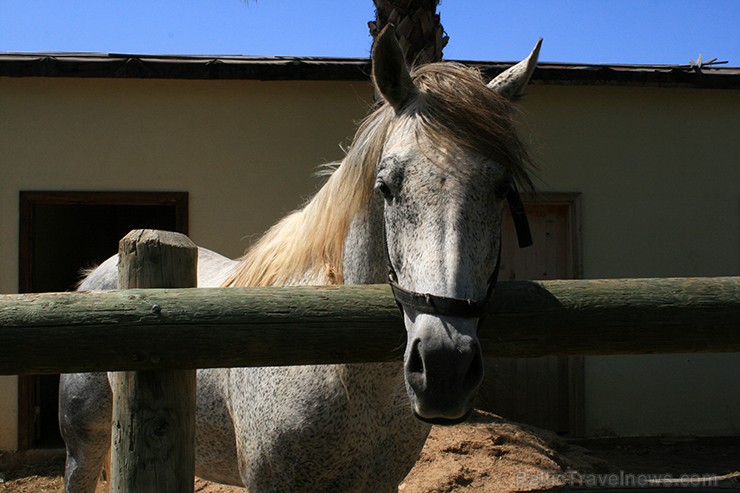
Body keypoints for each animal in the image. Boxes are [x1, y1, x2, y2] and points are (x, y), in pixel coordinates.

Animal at [59, 26, 536, 492]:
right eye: (386, 186)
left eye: (501, 190)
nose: (444, 368)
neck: (343, 373)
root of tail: (95, 275)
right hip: (85, 447)